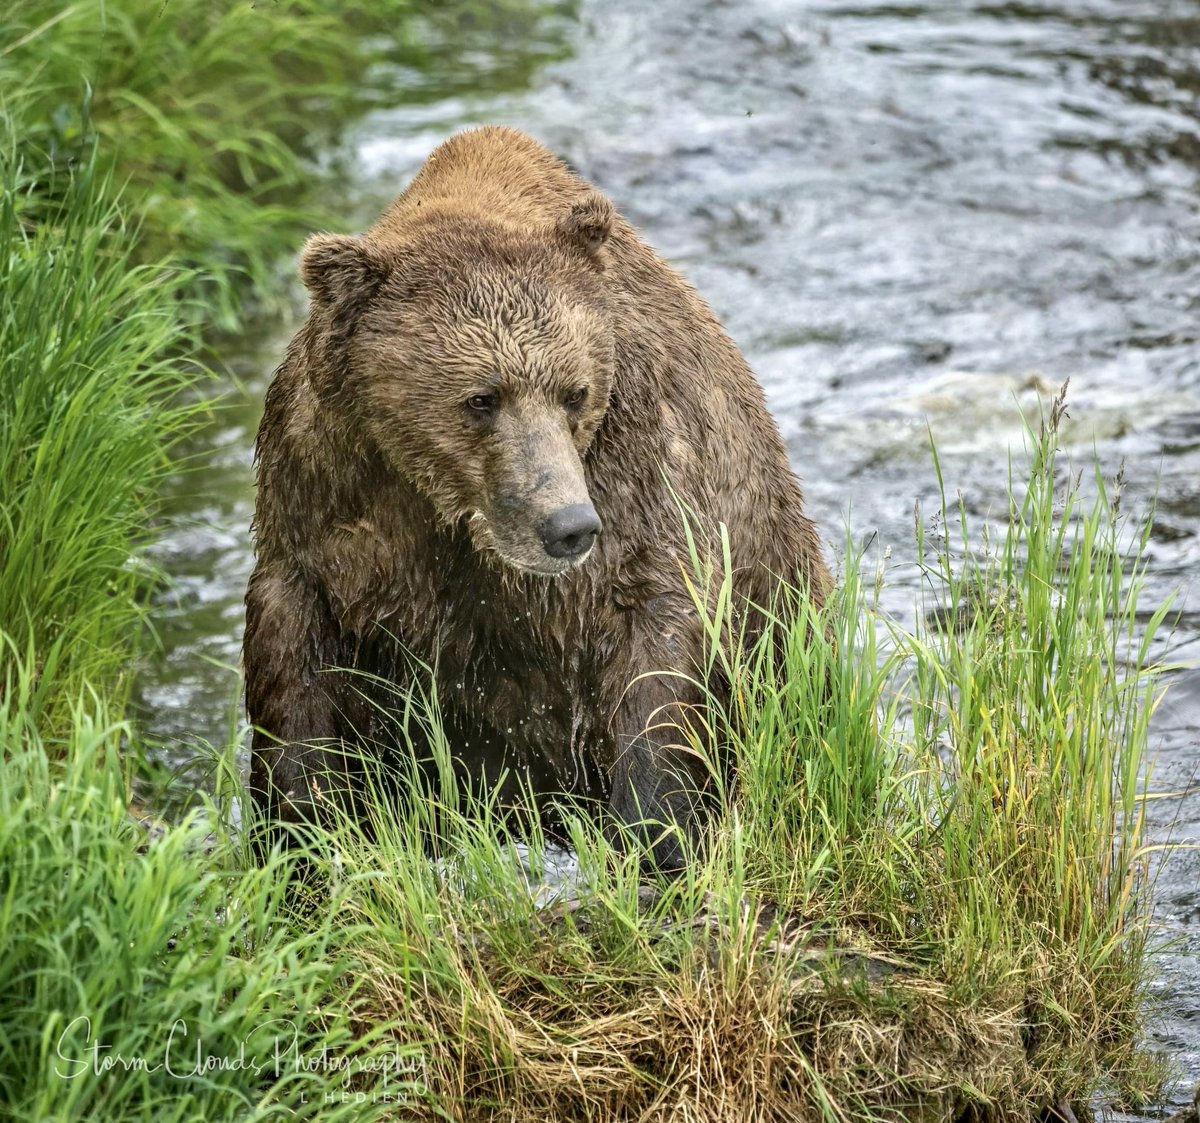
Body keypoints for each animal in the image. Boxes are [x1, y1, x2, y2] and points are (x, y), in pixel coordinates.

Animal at [244, 126, 830, 871]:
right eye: (481, 397)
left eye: (574, 392)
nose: (568, 525)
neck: (446, 506)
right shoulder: (324, 485)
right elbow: (296, 668)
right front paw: (299, 838)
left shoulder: (643, 463)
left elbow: (662, 647)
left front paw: (656, 835)